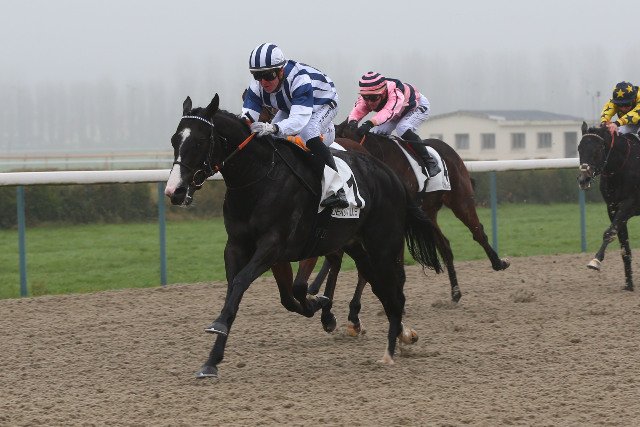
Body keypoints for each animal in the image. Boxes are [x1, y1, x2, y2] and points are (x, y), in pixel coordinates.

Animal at [164, 94, 444, 378]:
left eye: (199, 141)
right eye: (175, 140)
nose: (175, 191)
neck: (259, 178)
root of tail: (391, 175)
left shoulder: (273, 246)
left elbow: (245, 282)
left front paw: (219, 324)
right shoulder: (239, 246)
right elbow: (258, 293)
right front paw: (211, 361)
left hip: (383, 246)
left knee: (395, 291)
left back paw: (389, 350)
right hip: (359, 247)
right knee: (382, 288)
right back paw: (397, 335)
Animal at [577, 122, 640, 291]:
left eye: (597, 149)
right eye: (579, 148)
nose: (583, 179)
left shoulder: (630, 204)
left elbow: (609, 232)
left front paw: (596, 261)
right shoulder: (613, 208)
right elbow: (624, 245)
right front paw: (629, 285)